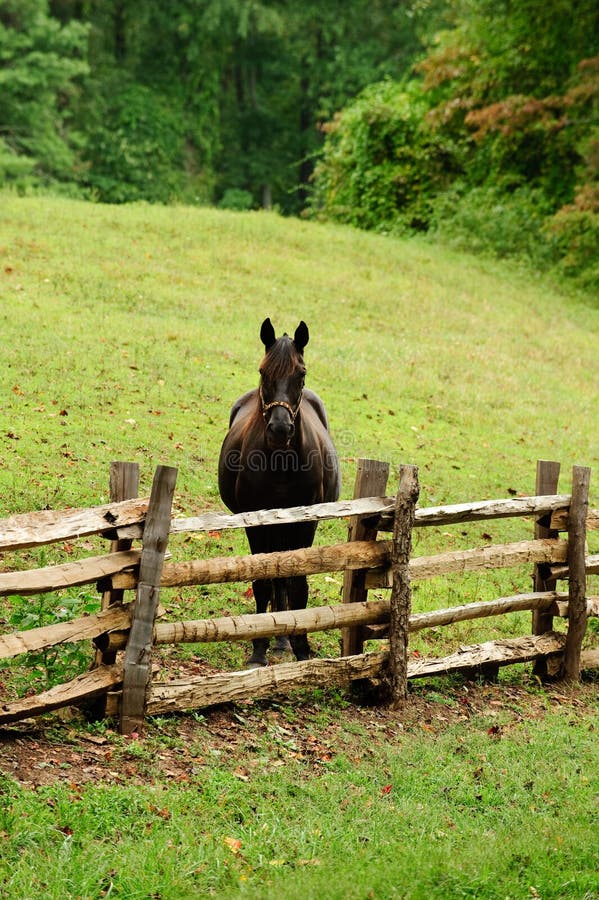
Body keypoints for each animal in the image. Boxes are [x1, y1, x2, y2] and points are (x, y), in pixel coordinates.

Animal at [218, 317, 341, 666]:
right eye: (263, 372)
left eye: (301, 374)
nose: (279, 430)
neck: (281, 463)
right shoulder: (256, 523)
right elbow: (262, 582)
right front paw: (258, 650)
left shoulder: (304, 523)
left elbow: (297, 583)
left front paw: (300, 648)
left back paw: (284, 637)